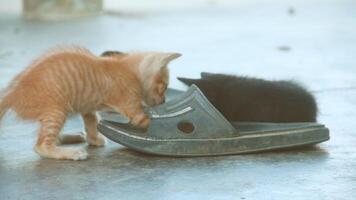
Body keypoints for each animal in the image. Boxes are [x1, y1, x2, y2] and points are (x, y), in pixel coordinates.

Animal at [0, 46, 179, 160]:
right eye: (165, 86)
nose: (163, 101)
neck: (128, 68)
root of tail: (12, 94)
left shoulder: (88, 107)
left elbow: (92, 122)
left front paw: (93, 139)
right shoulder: (132, 107)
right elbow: (147, 122)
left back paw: (72, 137)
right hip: (56, 109)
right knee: (41, 146)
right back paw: (69, 153)